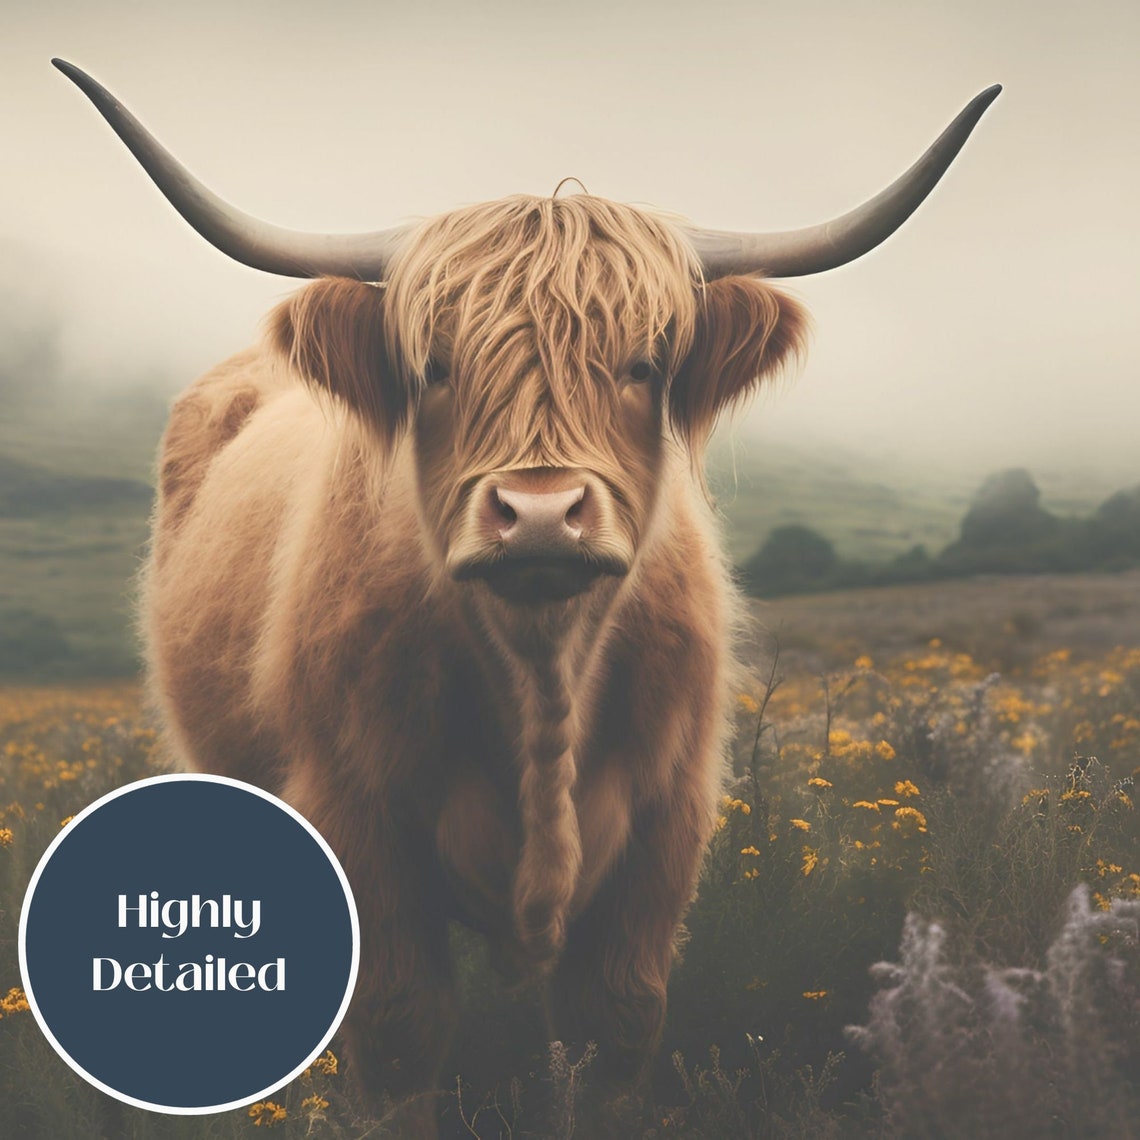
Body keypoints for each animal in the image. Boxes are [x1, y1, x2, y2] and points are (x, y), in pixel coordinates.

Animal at [55, 60, 998, 1137]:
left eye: (645, 363)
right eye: (434, 365)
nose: (541, 514)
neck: (541, 676)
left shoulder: (666, 827)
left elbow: (610, 1032)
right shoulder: (354, 817)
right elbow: (399, 1033)